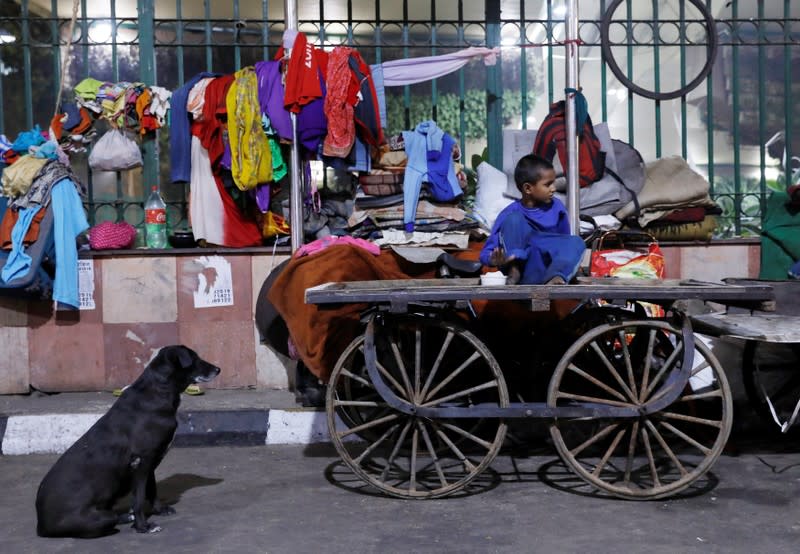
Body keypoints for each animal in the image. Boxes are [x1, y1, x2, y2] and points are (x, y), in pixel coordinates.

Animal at [36, 344, 220, 536]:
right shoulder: (142, 462)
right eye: (195, 359)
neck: (158, 390)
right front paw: (143, 526)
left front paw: (158, 510)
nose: (218, 369)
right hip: (97, 518)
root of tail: (41, 525)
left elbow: (152, 490)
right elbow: (138, 498)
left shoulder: (150, 462)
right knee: (106, 522)